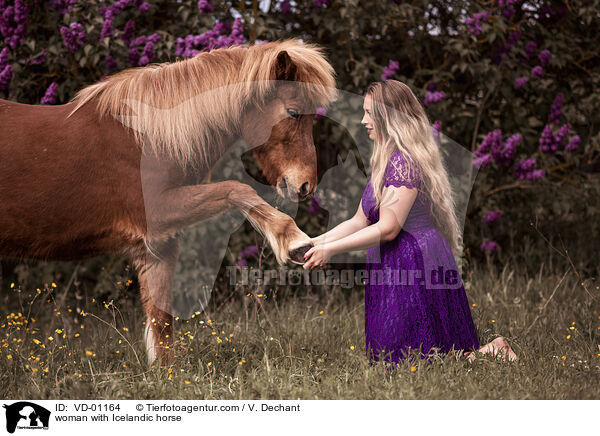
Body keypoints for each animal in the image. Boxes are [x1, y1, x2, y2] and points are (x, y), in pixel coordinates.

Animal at [0, 38, 338, 364]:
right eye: (293, 112)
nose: (305, 186)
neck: (147, 137)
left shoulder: (158, 245)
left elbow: (161, 323)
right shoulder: (161, 214)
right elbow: (237, 190)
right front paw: (293, 240)